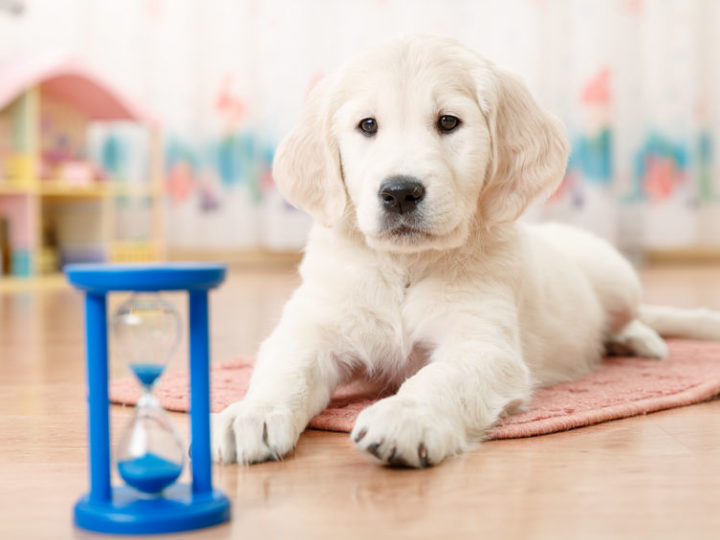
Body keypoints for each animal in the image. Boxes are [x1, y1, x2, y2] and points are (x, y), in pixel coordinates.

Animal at [211, 34, 720, 468]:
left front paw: (405, 416)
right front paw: (252, 413)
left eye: (448, 122)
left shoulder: (484, 345)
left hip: (617, 277)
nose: (400, 192)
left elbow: (441, 378)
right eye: (368, 125)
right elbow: (287, 368)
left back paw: (638, 341)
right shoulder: (314, 327)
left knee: (633, 316)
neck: (404, 268)